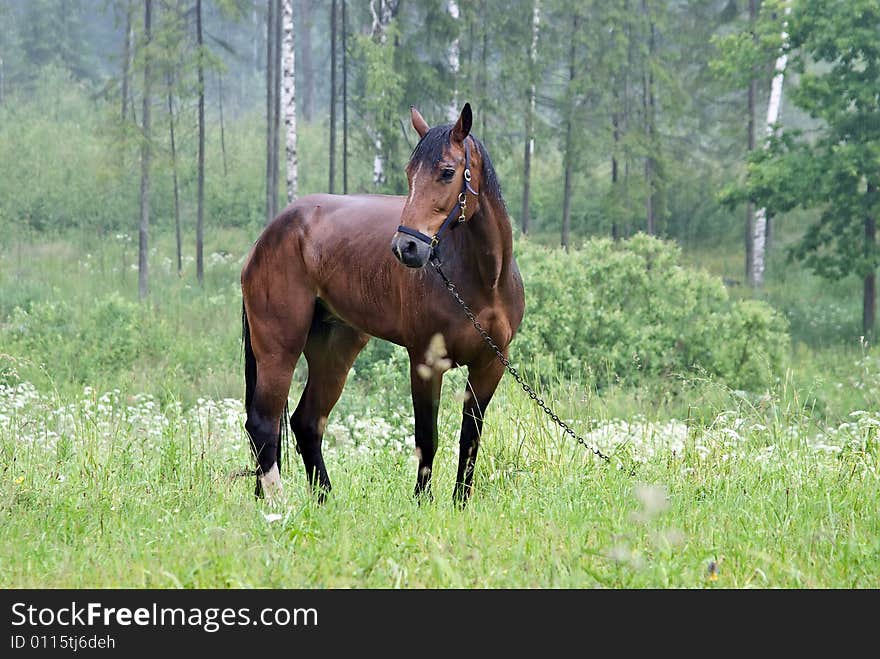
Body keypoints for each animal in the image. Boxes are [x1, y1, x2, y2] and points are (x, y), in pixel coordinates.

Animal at [241, 103, 524, 506]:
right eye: (409, 173)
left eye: (447, 172)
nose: (406, 247)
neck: (484, 280)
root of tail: (270, 234)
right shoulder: (425, 362)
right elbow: (427, 437)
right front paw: (422, 502)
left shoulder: (490, 366)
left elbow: (469, 440)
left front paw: (460, 503)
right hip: (279, 348)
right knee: (263, 424)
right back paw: (281, 504)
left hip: (335, 350)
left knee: (306, 422)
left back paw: (326, 502)